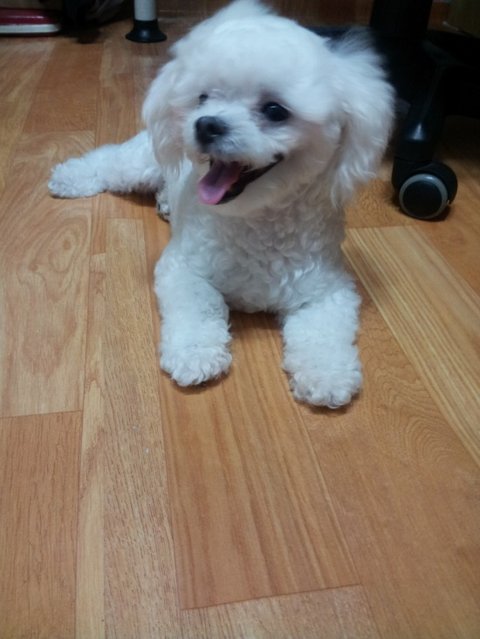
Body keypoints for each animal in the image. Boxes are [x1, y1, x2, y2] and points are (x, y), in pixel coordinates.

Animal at [49, 0, 394, 408]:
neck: (256, 220)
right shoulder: (182, 269)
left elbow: (323, 335)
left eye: (275, 110)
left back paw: (165, 202)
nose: (206, 124)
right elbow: (197, 309)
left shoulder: (327, 291)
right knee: (106, 161)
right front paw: (195, 355)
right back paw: (71, 177)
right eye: (203, 98)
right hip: (137, 163)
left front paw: (326, 375)